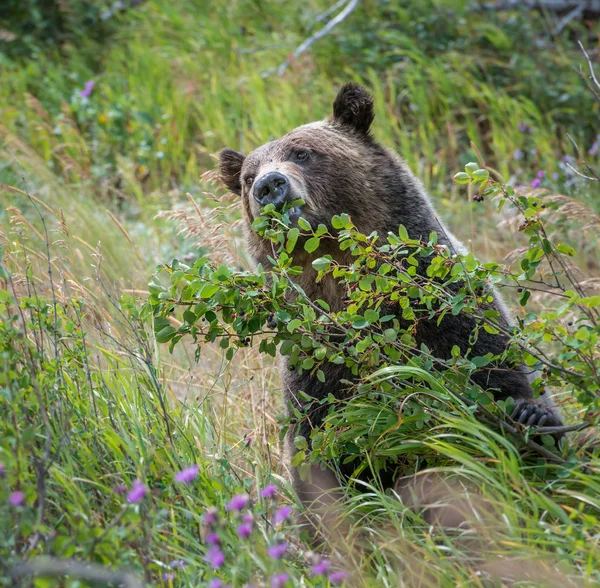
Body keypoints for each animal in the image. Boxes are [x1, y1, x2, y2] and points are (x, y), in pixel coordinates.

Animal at [219, 84, 564, 500]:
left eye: (301, 153)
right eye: (247, 177)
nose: (268, 186)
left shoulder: (446, 307)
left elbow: (496, 374)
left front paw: (529, 415)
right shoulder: (316, 359)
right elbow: (319, 444)